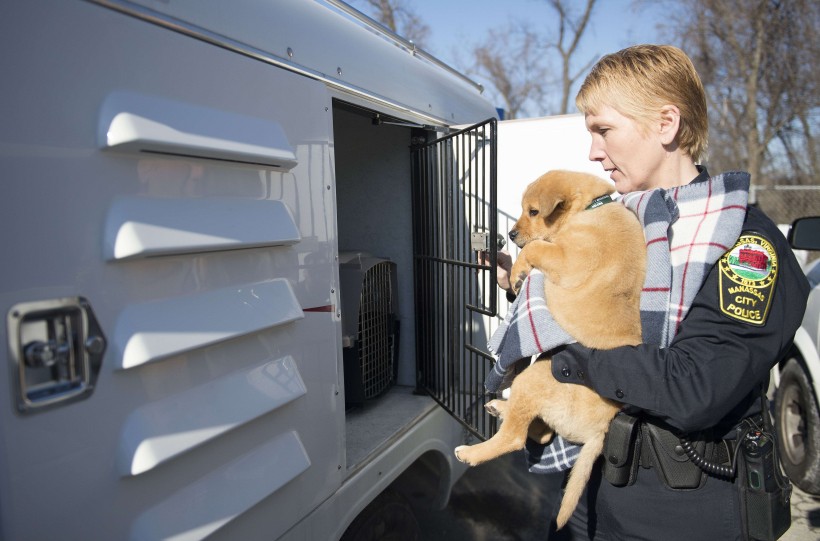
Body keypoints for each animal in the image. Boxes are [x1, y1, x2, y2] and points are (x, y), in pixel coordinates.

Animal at [454, 169, 648, 528]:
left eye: (533, 211)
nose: (511, 234)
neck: (590, 209)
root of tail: (602, 431)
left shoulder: (568, 258)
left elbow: (536, 248)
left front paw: (518, 271)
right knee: (541, 433)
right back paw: (499, 408)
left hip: (536, 378)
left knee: (517, 437)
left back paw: (472, 452)